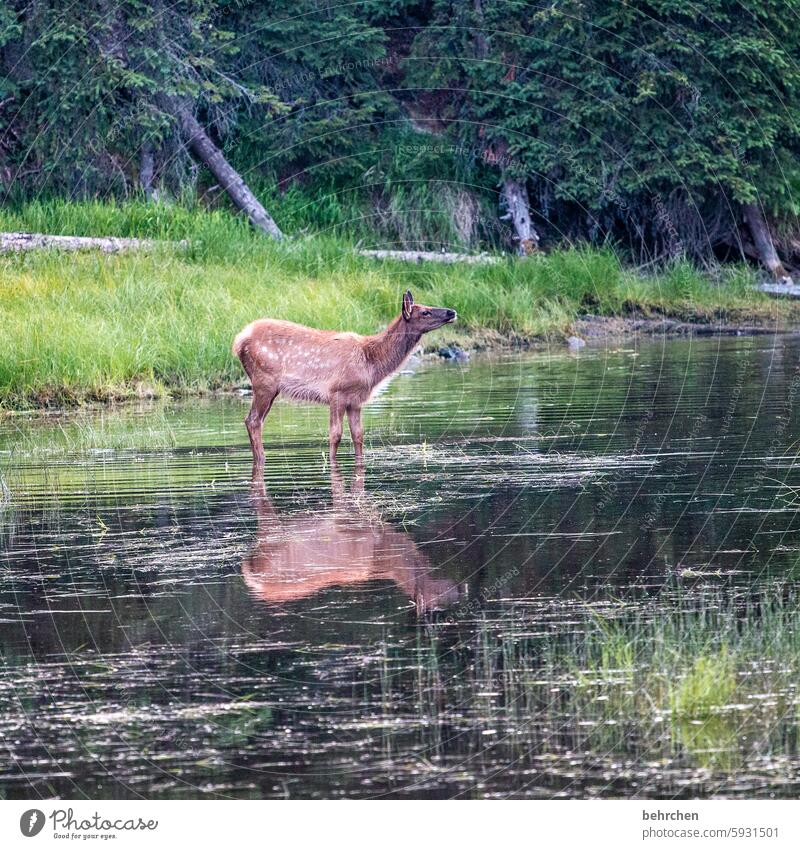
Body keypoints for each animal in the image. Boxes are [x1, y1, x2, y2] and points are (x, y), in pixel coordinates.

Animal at [231, 288, 456, 468]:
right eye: (425, 311)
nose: (452, 312)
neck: (371, 362)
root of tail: (238, 340)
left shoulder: (355, 400)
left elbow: (358, 435)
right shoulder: (336, 392)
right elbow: (335, 434)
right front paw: (332, 463)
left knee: (255, 421)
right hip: (264, 381)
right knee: (253, 420)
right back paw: (262, 459)